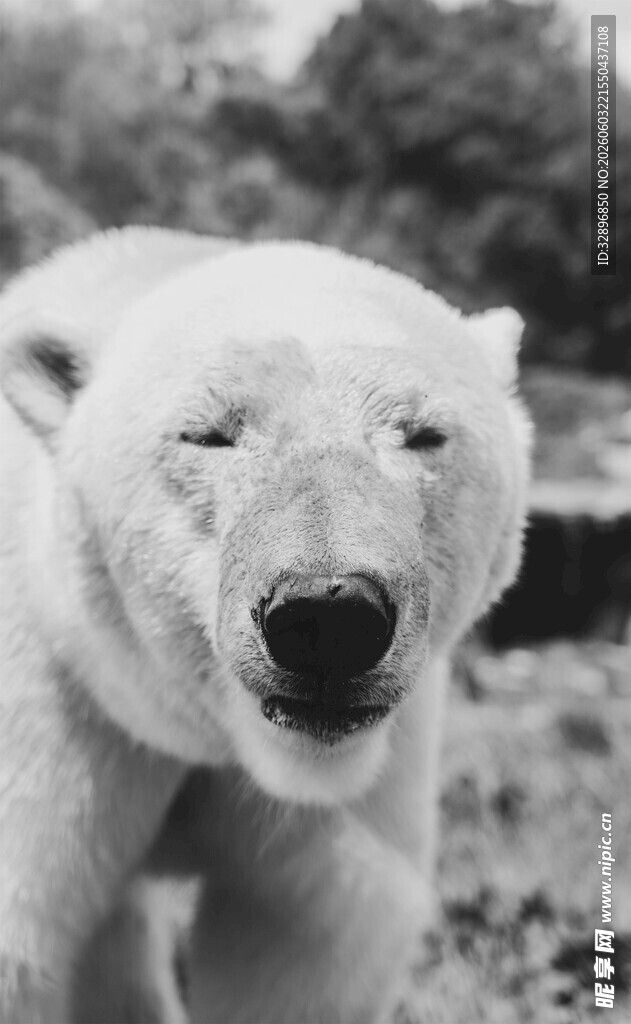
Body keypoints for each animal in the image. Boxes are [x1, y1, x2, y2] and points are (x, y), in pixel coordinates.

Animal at [0, 227, 532, 1024]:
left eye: (425, 434)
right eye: (206, 433)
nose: (329, 615)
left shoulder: (358, 774)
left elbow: (308, 933)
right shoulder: (62, 702)